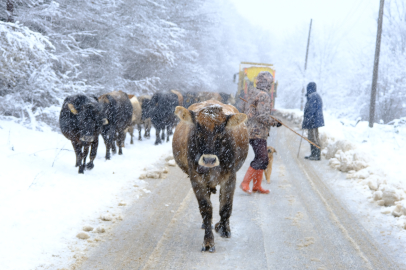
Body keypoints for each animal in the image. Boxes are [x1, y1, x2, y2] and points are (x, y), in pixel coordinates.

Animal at [171, 99, 247, 253]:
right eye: (198, 129)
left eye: (221, 131)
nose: (209, 160)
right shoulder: (196, 179)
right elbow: (206, 208)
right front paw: (208, 242)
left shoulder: (230, 177)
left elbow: (226, 206)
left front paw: (224, 228)